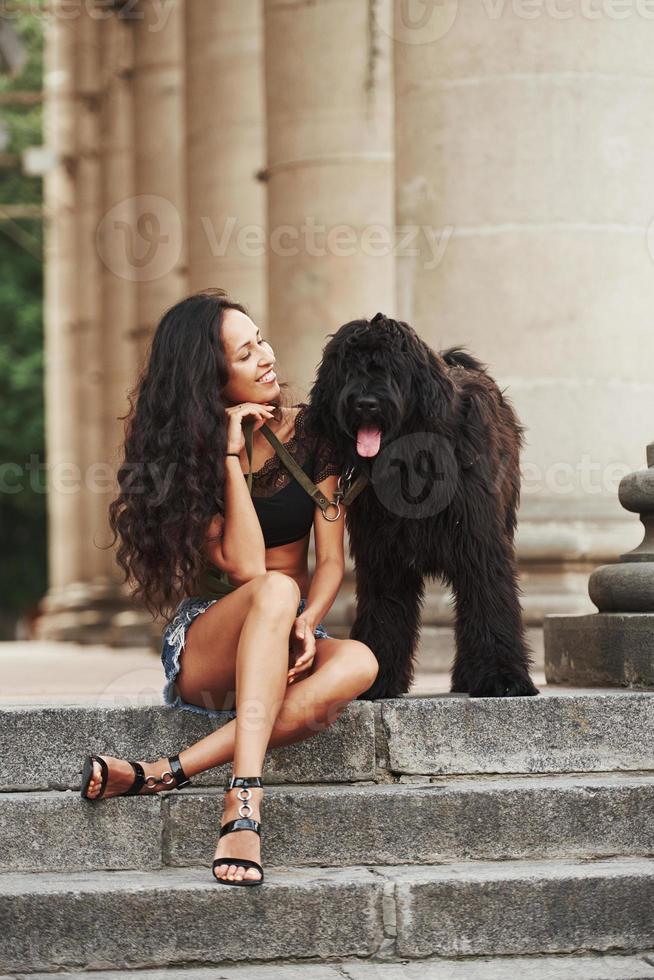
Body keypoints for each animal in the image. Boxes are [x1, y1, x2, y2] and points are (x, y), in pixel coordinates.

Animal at [308, 310, 544, 700]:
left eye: (393, 366)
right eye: (347, 366)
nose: (366, 402)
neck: (411, 462)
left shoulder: (480, 542)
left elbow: (490, 601)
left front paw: (503, 677)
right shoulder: (383, 556)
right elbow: (385, 613)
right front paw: (376, 678)